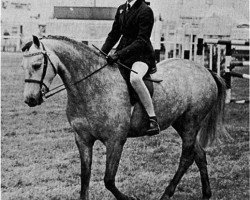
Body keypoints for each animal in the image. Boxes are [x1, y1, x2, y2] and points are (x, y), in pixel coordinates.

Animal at [22, 35, 227, 199]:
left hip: (192, 122)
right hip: (181, 123)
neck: (91, 86)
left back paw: (166, 194)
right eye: (23, 66)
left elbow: (108, 180)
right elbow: (85, 177)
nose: (30, 99)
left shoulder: (115, 140)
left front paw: (129, 198)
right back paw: (206, 194)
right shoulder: (82, 139)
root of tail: (206, 70)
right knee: (199, 154)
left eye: (37, 65)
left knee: (186, 157)